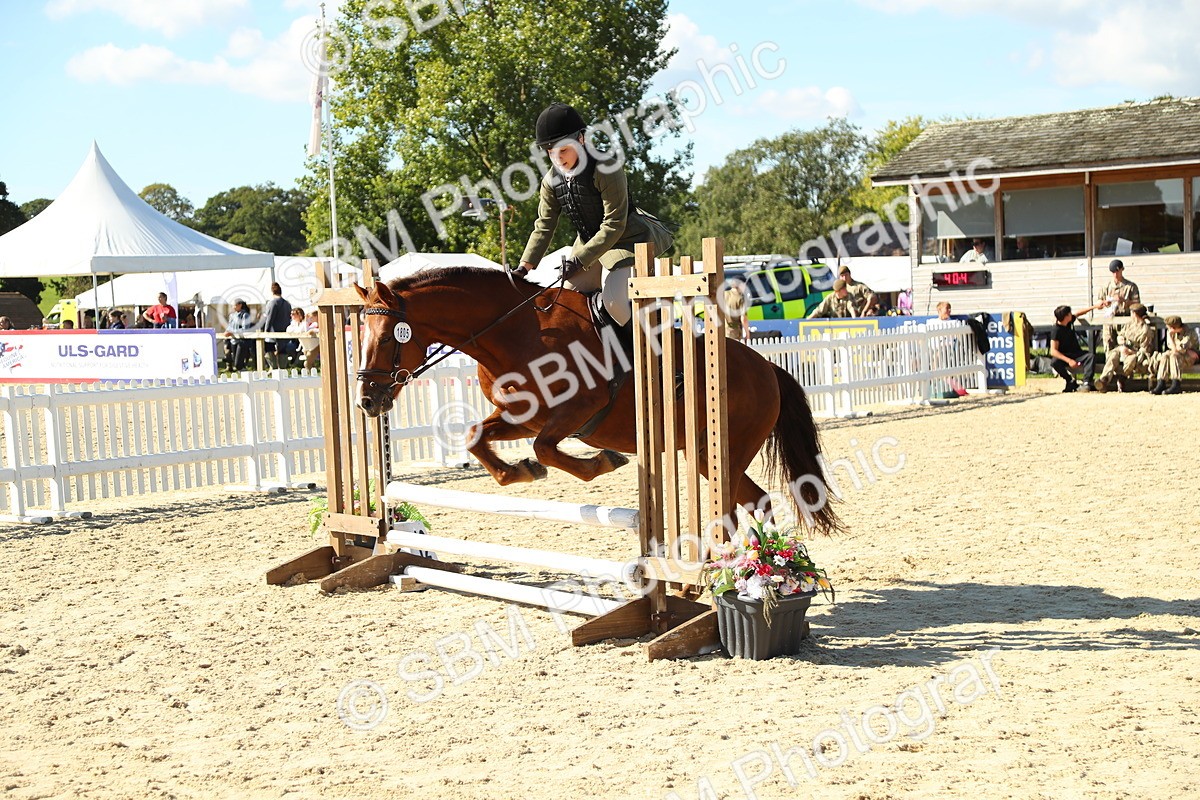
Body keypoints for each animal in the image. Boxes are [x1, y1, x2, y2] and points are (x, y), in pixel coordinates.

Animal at [354, 267, 841, 536]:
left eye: (388, 337)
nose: (366, 401)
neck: (513, 333)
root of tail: (768, 368)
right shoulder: (521, 416)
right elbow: (478, 436)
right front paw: (519, 473)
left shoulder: (577, 411)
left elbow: (546, 449)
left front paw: (602, 462)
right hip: (703, 452)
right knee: (755, 501)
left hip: (726, 449)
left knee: (741, 505)